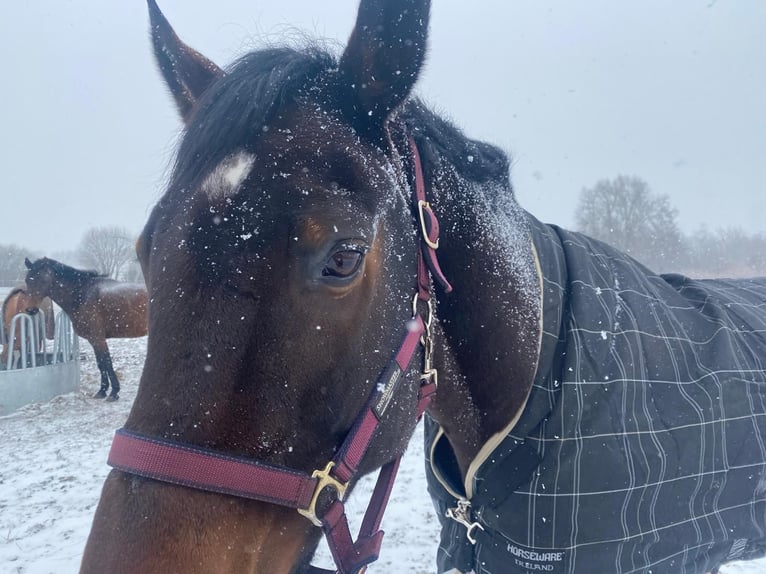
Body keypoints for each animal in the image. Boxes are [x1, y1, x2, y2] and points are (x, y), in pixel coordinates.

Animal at [25, 258, 148, 402]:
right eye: (27, 280)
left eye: (43, 280)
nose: (30, 310)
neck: (82, 294)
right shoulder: (93, 340)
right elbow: (101, 364)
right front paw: (102, 391)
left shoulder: (98, 338)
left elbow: (107, 362)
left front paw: (114, 392)